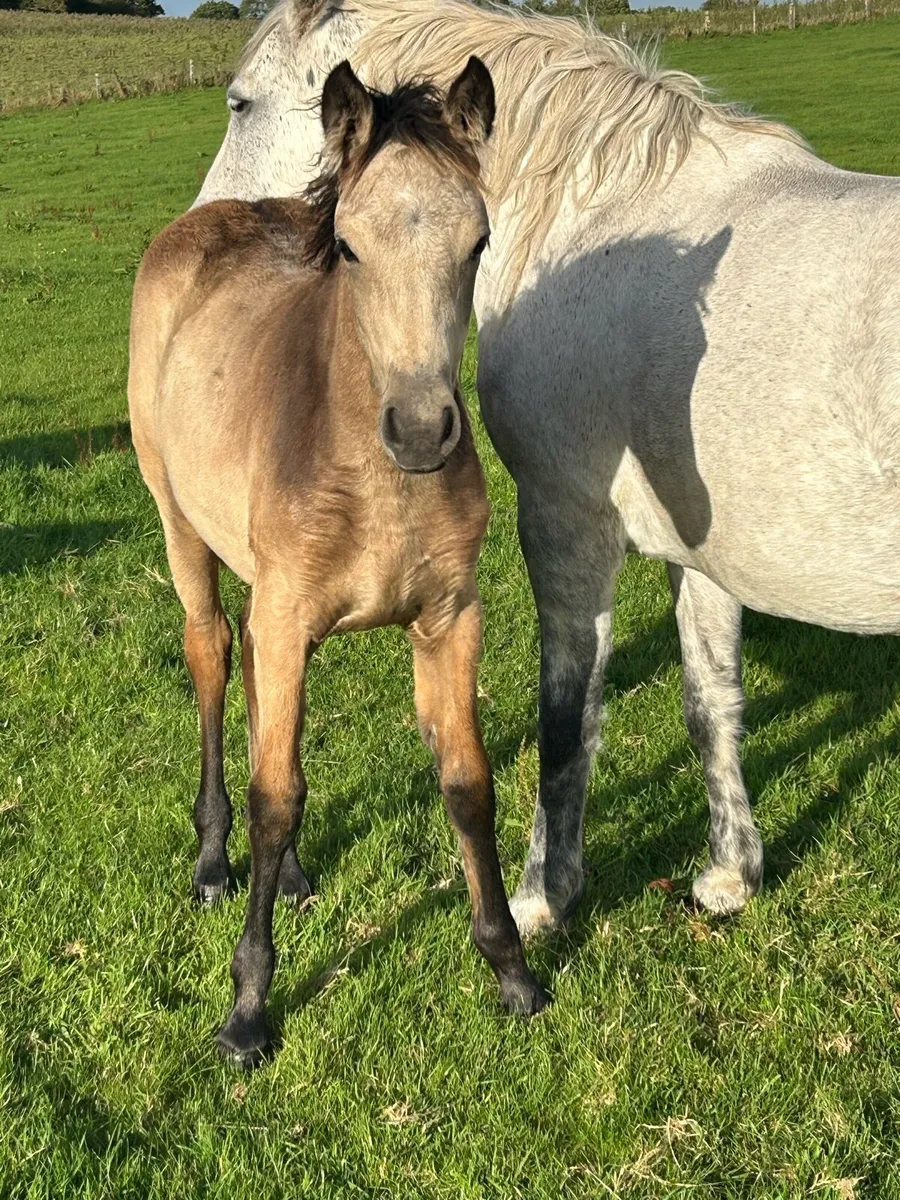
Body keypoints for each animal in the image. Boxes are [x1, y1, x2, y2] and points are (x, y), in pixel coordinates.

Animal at [129, 58, 549, 1068]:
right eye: (350, 249)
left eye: (479, 242)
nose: (425, 431)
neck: (371, 479)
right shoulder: (287, 616)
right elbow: (275, 794)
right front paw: (247, 1008)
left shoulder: (450, 616)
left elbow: (466, 782)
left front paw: (510, 969)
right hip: (181, 527)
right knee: (212, 655)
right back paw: (215, 862)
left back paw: (286, 876)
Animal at [194, 0, 900, 937]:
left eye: (239, 102)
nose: (204, 235)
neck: (608, 217)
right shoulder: (704, 555)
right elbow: (711, 704)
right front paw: (729, 875)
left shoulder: (564, 527)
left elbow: (567, 720)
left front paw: (539, 897)